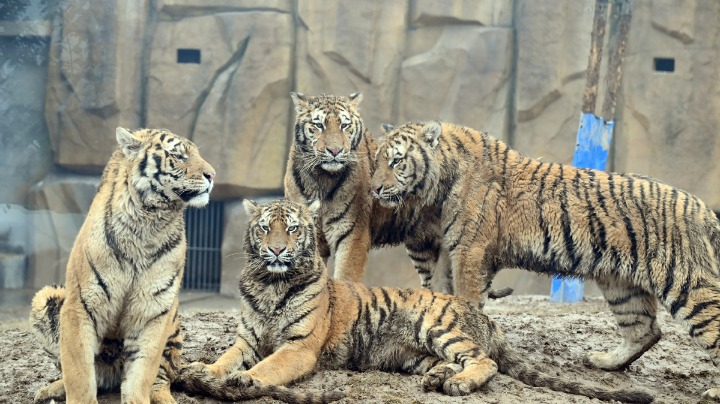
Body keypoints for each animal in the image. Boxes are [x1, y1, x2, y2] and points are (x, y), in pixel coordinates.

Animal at [29, 127, 215, 403]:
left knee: (161, 380)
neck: (150, 222)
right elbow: (78, 371)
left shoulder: (154, 308)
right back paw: (49, 390)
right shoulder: (80, 305)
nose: (212, 175)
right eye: (179, 156)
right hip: (47, 297)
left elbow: (143, 370)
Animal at [179, 198, 653, 403]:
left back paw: (457, 384)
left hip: (437, 325)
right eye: (265, 228)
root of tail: (482, 315)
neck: (270, 282)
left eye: (293, 229)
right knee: (455, 362)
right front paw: (204, 370)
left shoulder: (298, 347)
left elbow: (266, 367)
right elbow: (225, 358)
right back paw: (438, 378)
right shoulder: (245, 338)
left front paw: (244, 380)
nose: (277, 250)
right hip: (414, 355)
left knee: (485, 361)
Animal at [284, 92, 511, 298]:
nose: (335, 150)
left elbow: (346, 278)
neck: (320, 178)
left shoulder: (351, 234)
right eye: (319, 125)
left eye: (345, 126)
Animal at [371, 120, 720, 400]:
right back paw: (604, 361)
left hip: (686, 283)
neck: (441, 182)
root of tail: (703, 209)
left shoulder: (469, 252)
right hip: (620, 285)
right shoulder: (448, 251)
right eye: (375, 162)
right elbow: (443, 294)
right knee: (645, 329)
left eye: (397, 161)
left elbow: (466, 299)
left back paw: (713, 391)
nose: (374, 189)